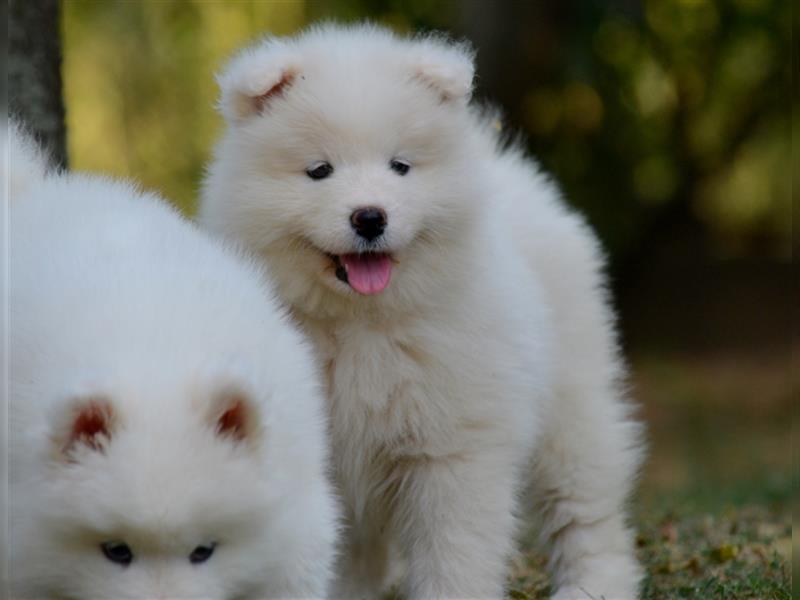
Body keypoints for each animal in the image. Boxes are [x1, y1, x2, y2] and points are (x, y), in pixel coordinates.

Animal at [200, 24, 644, 600]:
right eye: (319, 171)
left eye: (400, 166)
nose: (370, 217)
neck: (361, 326)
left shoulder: (453, 451)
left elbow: (453, 553)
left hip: (571, 404)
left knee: (585, 506)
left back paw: (594, 583)